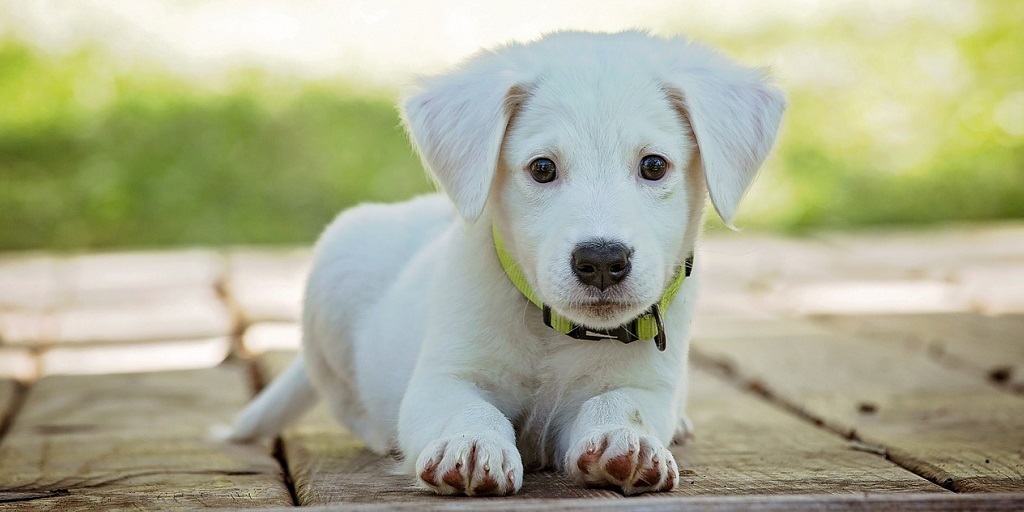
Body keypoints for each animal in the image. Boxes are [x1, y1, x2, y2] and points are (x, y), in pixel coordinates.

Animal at [232, 30, 786, 495]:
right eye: (542, 168)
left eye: (654, 165)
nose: (601, 261)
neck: (555, 333)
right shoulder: (443, 378)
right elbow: (467, 408)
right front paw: (472, 444)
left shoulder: (648, 385)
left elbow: (621, 403)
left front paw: (625, 441)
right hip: (335, 270)